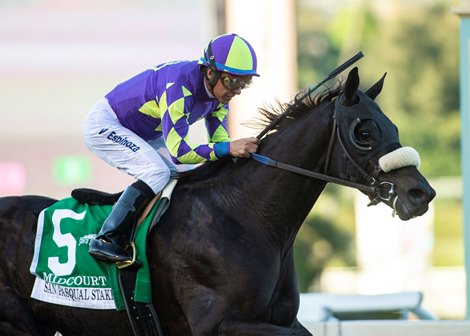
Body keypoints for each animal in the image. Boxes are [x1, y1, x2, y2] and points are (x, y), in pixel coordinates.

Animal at [0, 67, 436, 334]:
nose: (421, 193)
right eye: (364, 131)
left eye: (393, 126)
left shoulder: (281, 320)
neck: (245, 215)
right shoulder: (219, 323)